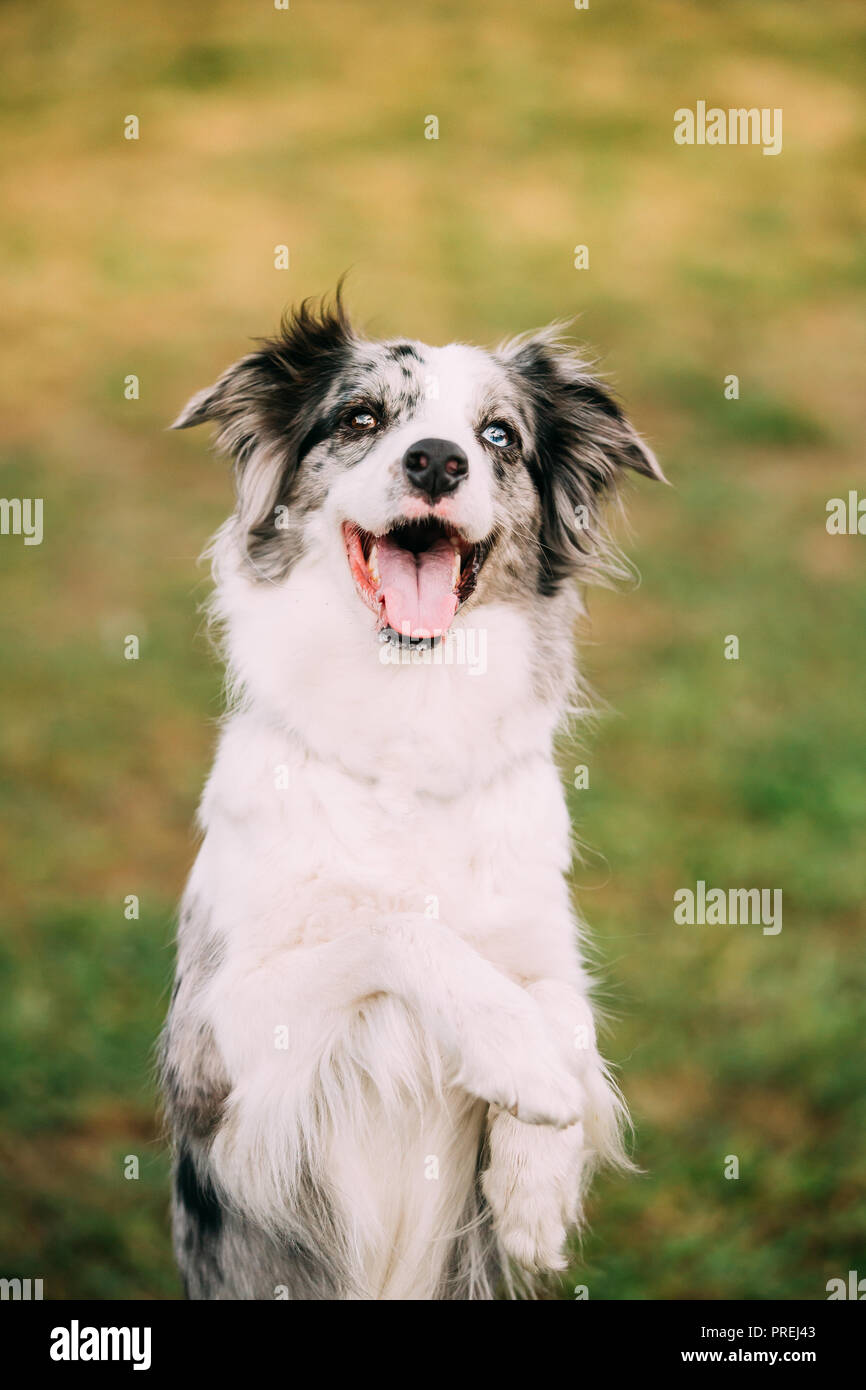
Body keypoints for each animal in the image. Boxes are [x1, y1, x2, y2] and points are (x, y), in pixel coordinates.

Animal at [161, 293, 664, 1301]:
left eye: (499, 435)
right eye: (361, 418)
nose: (437, 459)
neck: (410, 717)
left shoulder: (539, 936)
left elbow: (569, 1009)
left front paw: (535, 1189)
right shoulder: (214, 1046)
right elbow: (398, 928)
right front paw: (515, 1054)